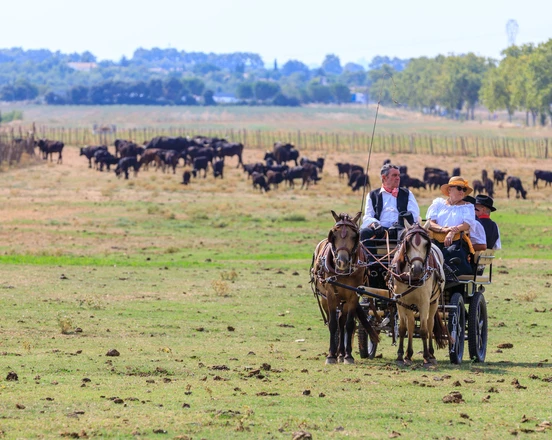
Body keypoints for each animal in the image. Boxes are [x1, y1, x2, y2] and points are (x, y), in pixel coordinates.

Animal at [310, 210, 380, 364]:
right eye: (333, 235)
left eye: (354, 236)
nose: (342, 262)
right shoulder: (330, 295)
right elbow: (332, 324)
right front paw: (331, 355)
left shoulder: (353, 296)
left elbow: (348, 324)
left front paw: (348, 356)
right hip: (325, 299)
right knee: (336, 321)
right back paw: (337, 353)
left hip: (344, 301)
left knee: (342, 322)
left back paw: (342, 353)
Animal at [388, 222, 448, 366]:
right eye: (407, 243)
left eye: (427, 244)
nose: (417, 269)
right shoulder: (400, 302)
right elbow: (403, 328)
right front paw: (400, 355)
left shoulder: (424, 303)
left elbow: (423, 330)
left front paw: (426, 356)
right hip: (409, 305)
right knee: (410, 324)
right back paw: (408, 354)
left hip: (434, 302)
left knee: (430, 324)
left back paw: (431, 354)